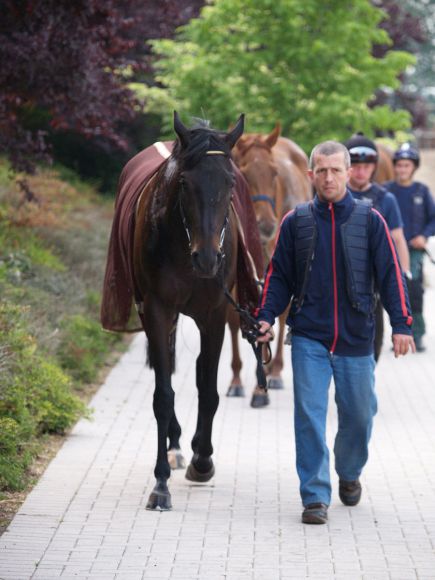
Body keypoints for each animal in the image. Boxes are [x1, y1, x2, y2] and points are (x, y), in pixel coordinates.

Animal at [122, 112, 245, 508]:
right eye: (186, 183)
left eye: (230, 181)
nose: (207, 258)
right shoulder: (157, 310)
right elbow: (163, 394)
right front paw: (161, 482)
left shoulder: (215, 315)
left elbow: (208, 390)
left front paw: (202, 460)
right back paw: (175, 446)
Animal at [228, 123, 314, 404]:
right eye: (243, 173)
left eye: (274, 172)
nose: (266, 225)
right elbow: (235, 321)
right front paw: (236, 380)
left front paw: (260, 384)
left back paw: (274, 372)